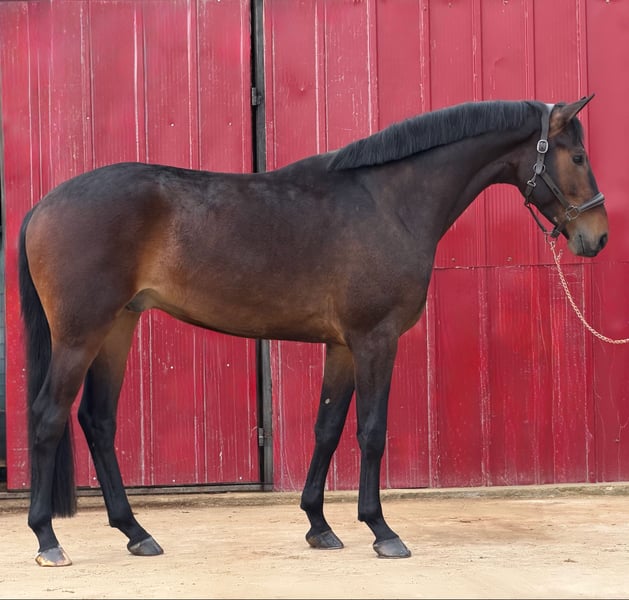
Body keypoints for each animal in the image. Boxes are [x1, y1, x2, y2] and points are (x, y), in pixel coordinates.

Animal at [19, 95, 608, 566]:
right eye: (577, 156)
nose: (597, 236)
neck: (388, 202)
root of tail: (45, 204)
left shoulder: (342, 347)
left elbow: (327, 429)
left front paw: (319, 526)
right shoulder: (375, 340)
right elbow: (371, 431)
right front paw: (381, 529)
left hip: (118, 327)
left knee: (98, 422)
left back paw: (136, 532)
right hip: (80, 335)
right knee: (49, 417)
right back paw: (47, 539)